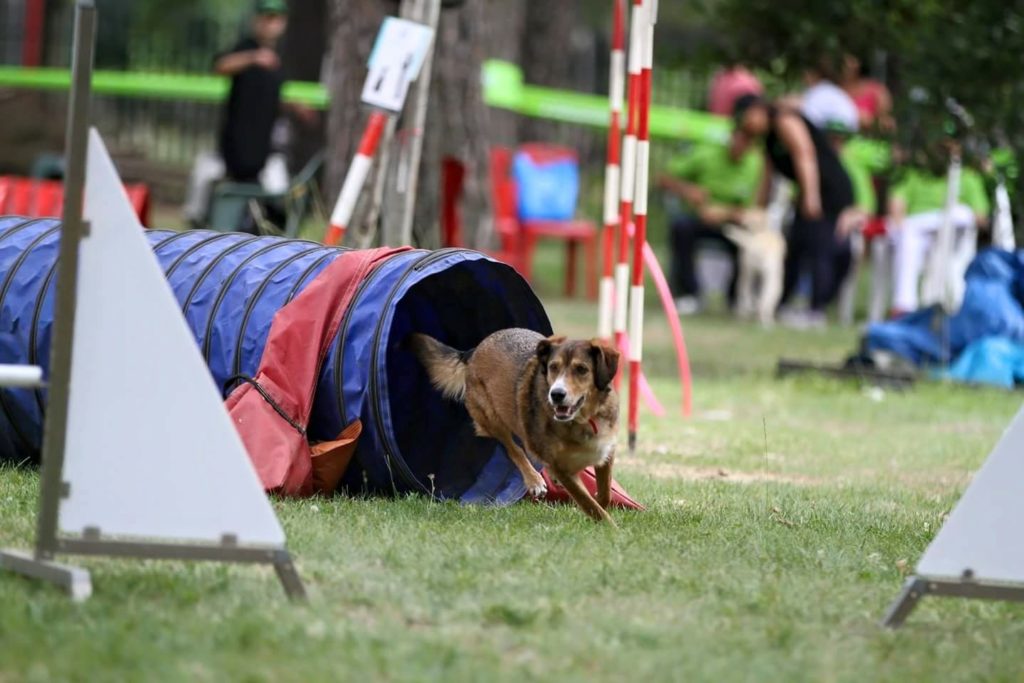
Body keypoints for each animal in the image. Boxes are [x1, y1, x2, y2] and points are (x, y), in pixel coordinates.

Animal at [405, 329, 614, 524]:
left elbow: (604, 491)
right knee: (514, 449)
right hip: (492, 417)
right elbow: (587, 499)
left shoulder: (606, 452)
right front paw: (607, 525)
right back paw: (534, 480)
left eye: (582, 370)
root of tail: (474, 351)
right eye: (553, 369)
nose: (556, 395)